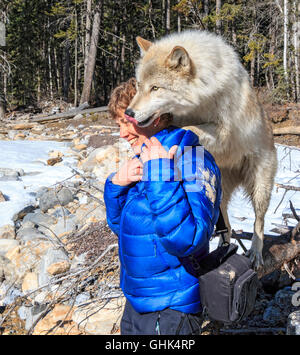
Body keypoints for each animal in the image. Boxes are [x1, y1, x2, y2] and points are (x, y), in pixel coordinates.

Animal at [124, 30, 276, 270]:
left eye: (155, 88)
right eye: (139, 86)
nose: (129, 113)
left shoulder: (222, 132)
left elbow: (186, 128)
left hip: (261, 187)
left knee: (259, 221)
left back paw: (255, 253)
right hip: (219, 191)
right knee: (225, 224)